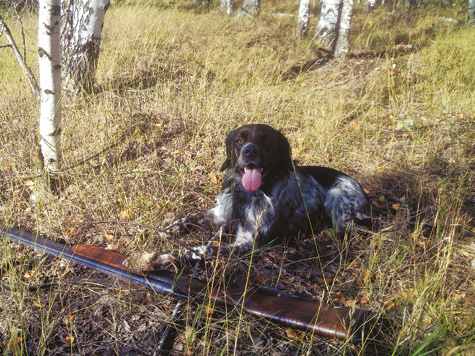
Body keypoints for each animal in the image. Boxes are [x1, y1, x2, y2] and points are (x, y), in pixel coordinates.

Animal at [170, 124, 372, 258]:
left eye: (266, 140)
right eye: (239, 140)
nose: (249, 151)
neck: (248, 194)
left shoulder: (248, 242)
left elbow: (207, 248)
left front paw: (173, 256)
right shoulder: (220, 214)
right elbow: (186, 220)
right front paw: (167, 232)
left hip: (337, 198)